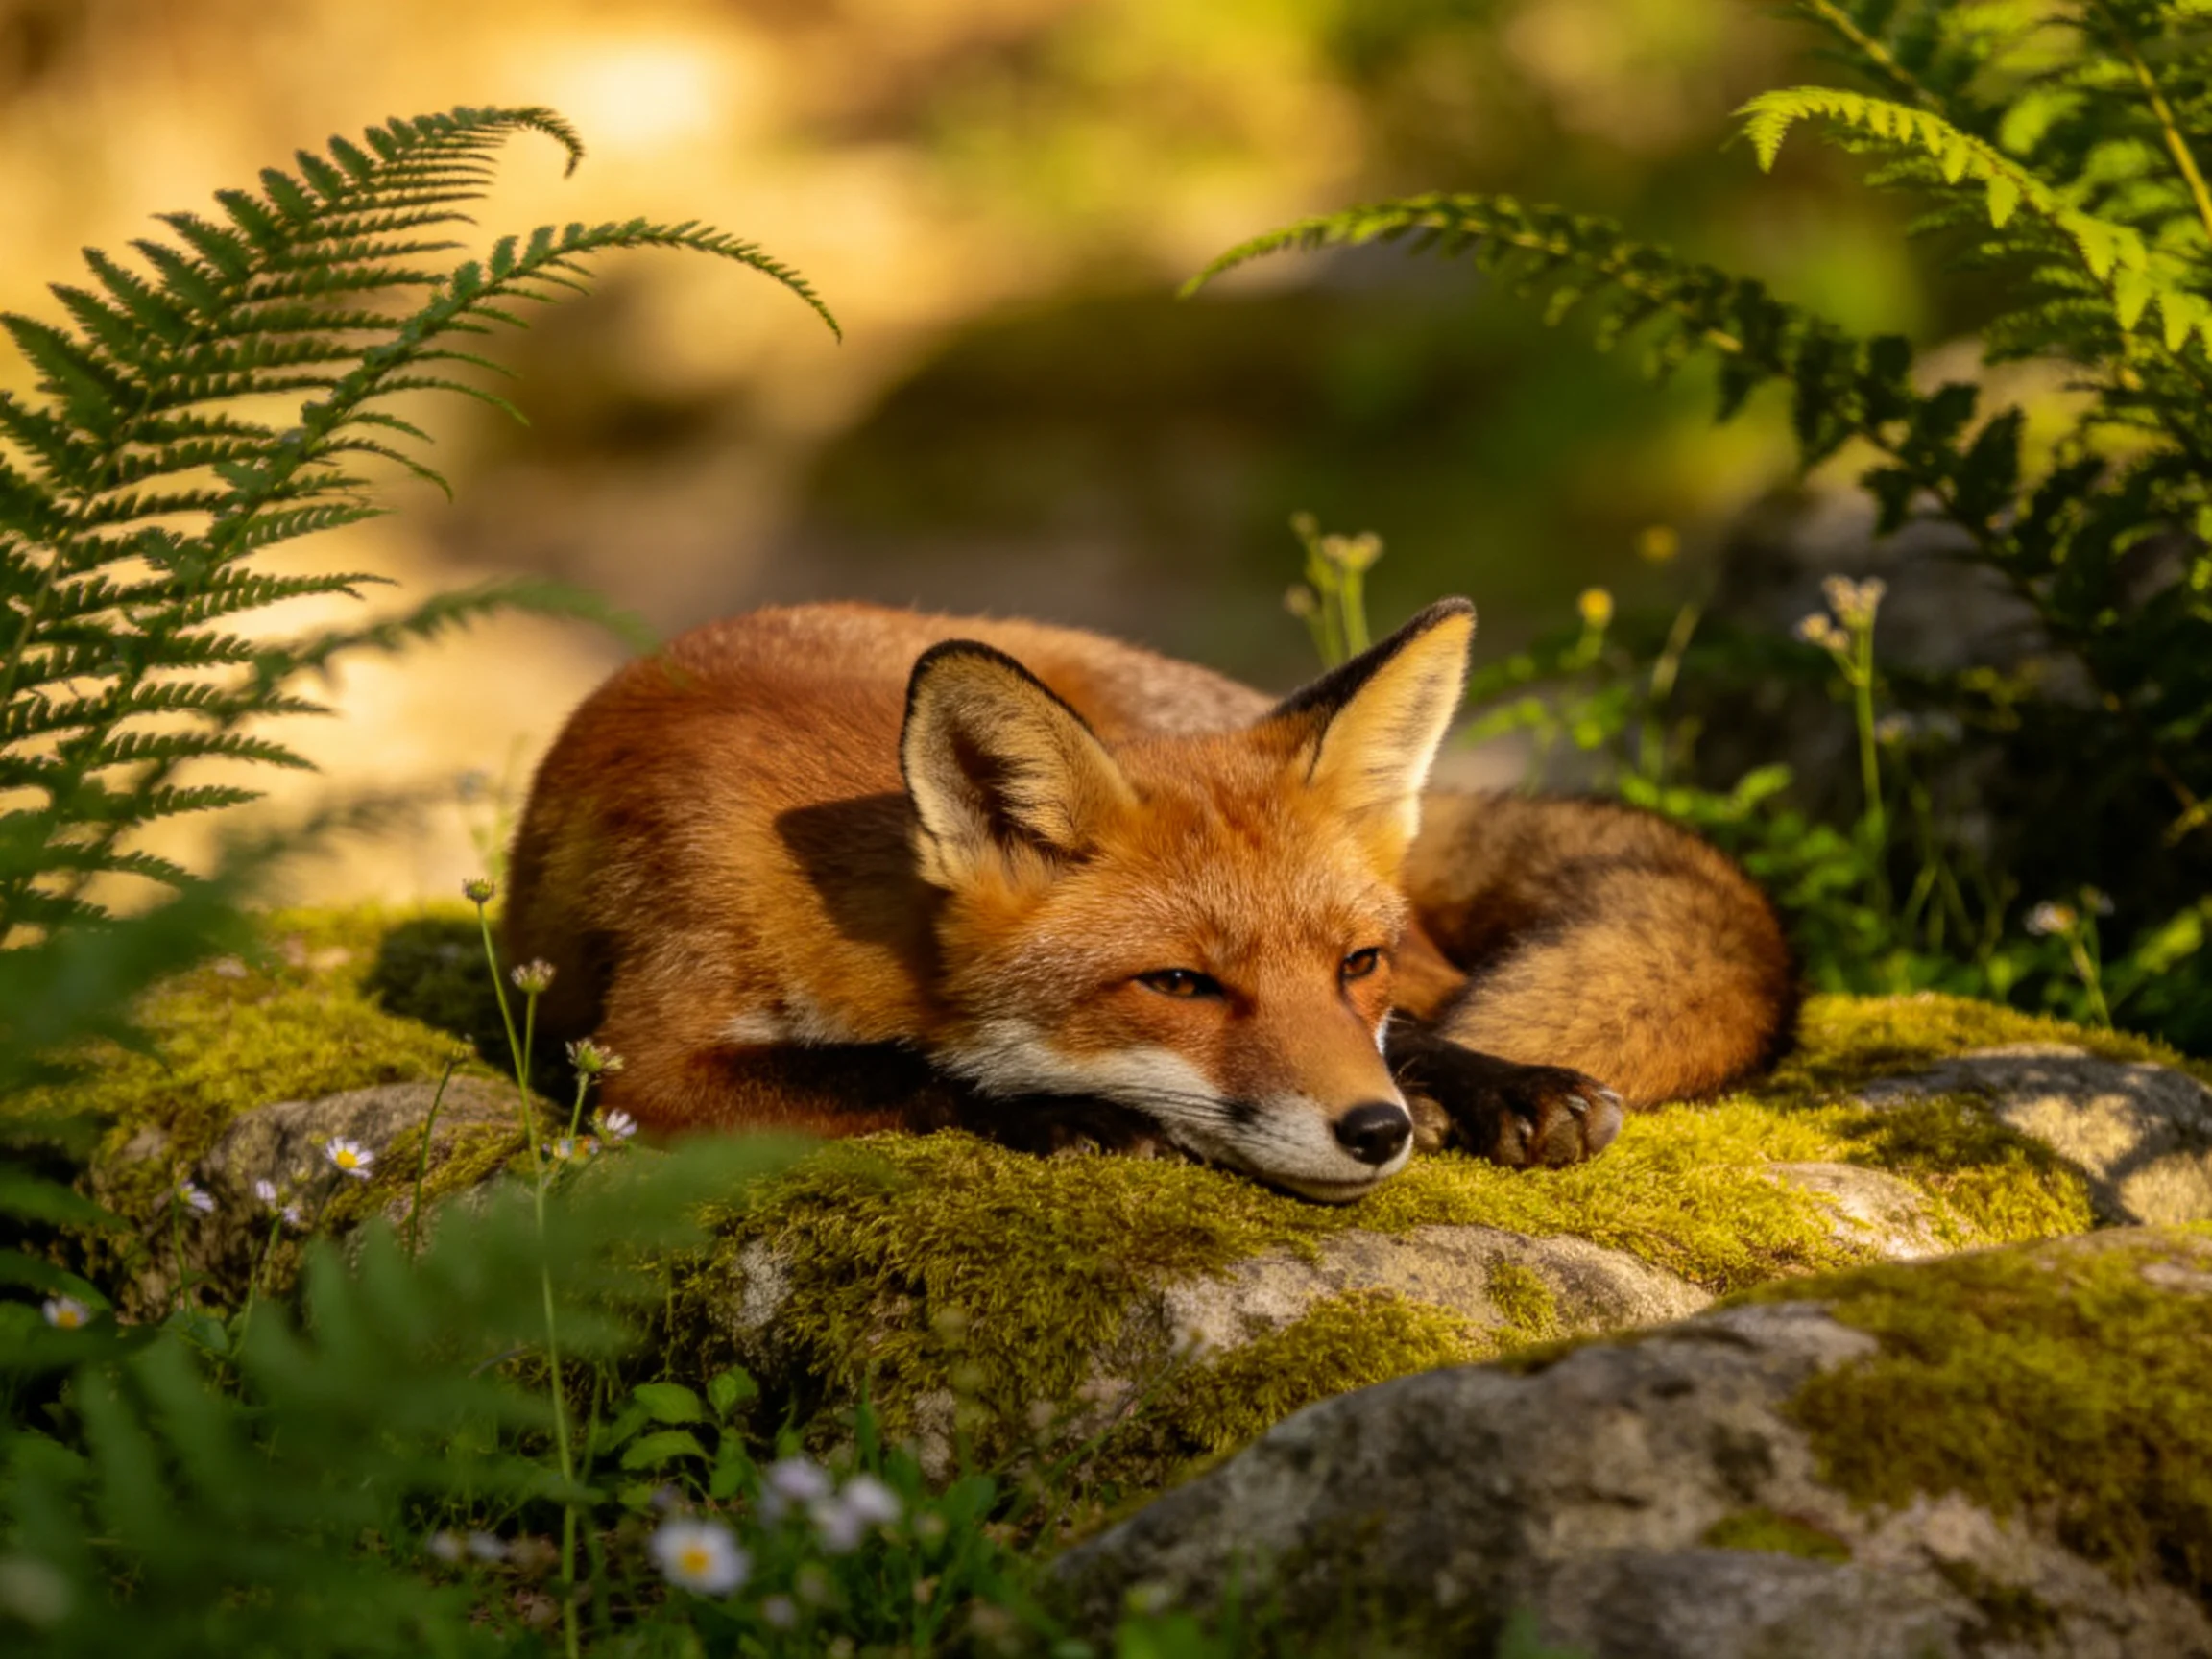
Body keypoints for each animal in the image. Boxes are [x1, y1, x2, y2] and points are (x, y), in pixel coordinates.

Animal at [503, 599, 1797, 1201]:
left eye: (1353, 965)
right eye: (1179, 984)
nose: (1374, 1134)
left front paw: (1481, 1086)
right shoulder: (646, 1058)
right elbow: (891, 1072)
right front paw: (1058, 1113)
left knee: (1441, 1002)